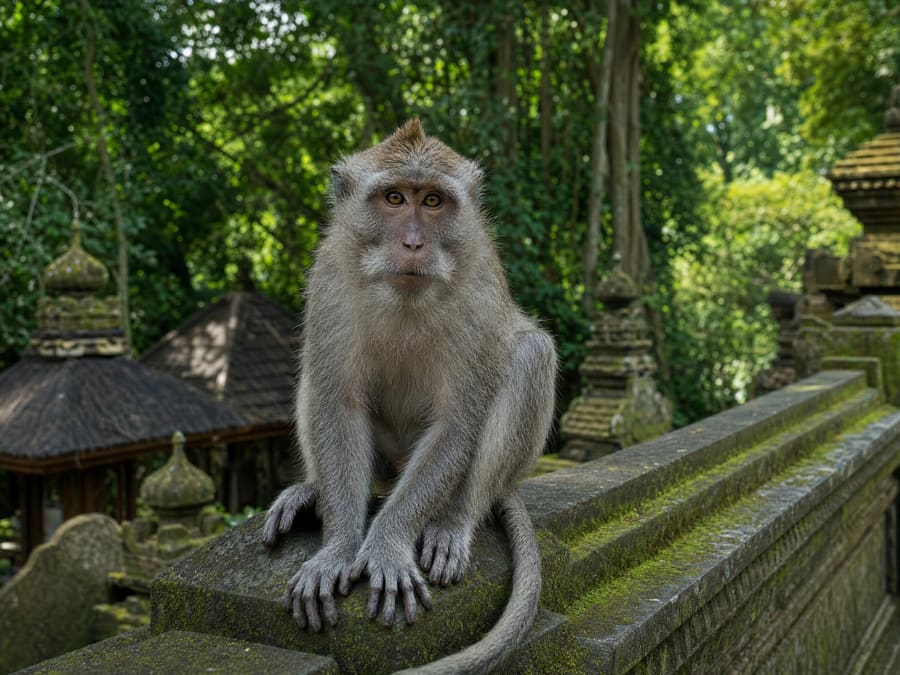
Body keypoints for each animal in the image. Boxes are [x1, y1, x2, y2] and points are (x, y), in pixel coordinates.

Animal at [263, 119, 557, 674]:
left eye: (434, 201)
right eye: (395, 198)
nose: (415, 243)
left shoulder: (478, 290)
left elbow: (457, 423)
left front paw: (388, 543)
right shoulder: (329, 279)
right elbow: (338, 405)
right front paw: (339, 547)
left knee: (531, 353)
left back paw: (452, 520)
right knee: (315, 372)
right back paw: (311, 491)